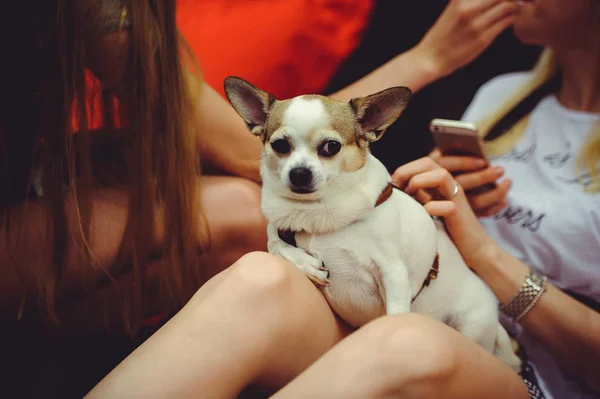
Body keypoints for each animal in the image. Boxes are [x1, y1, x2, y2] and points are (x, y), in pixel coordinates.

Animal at [224, 76, 520, 372]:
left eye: (331, 147)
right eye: (280, 145)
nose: (299, 172)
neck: (319, 213)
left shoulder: (392, 272)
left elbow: (395, 313)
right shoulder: (276, 230)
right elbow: (275, 244)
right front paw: (306, 263)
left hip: (470, 325)